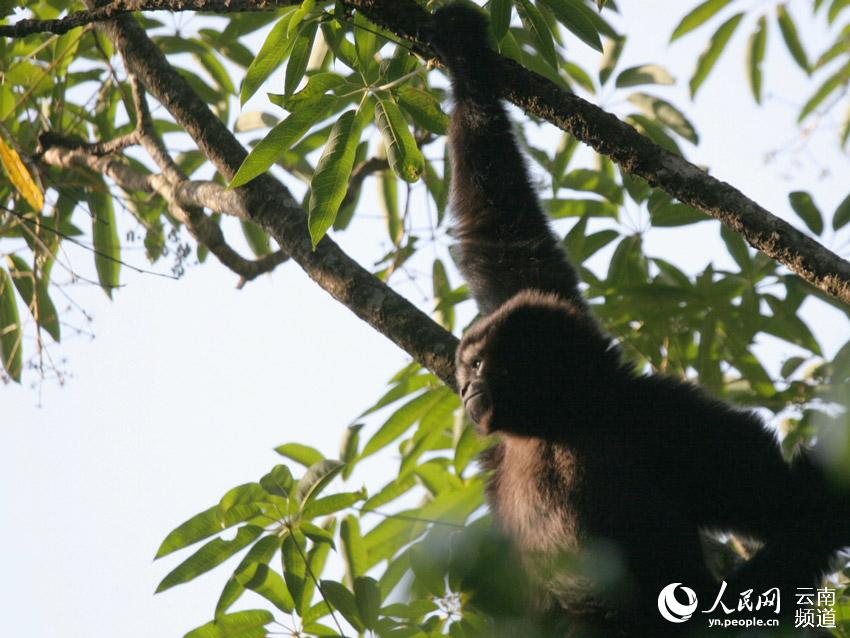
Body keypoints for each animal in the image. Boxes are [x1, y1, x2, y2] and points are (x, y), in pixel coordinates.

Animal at [426, 3, 850, 635]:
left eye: (477, 365)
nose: (464, 386)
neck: (560, 422)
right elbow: (507, 240)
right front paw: (465, 59)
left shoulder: (669, 415)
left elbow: (802, 504)